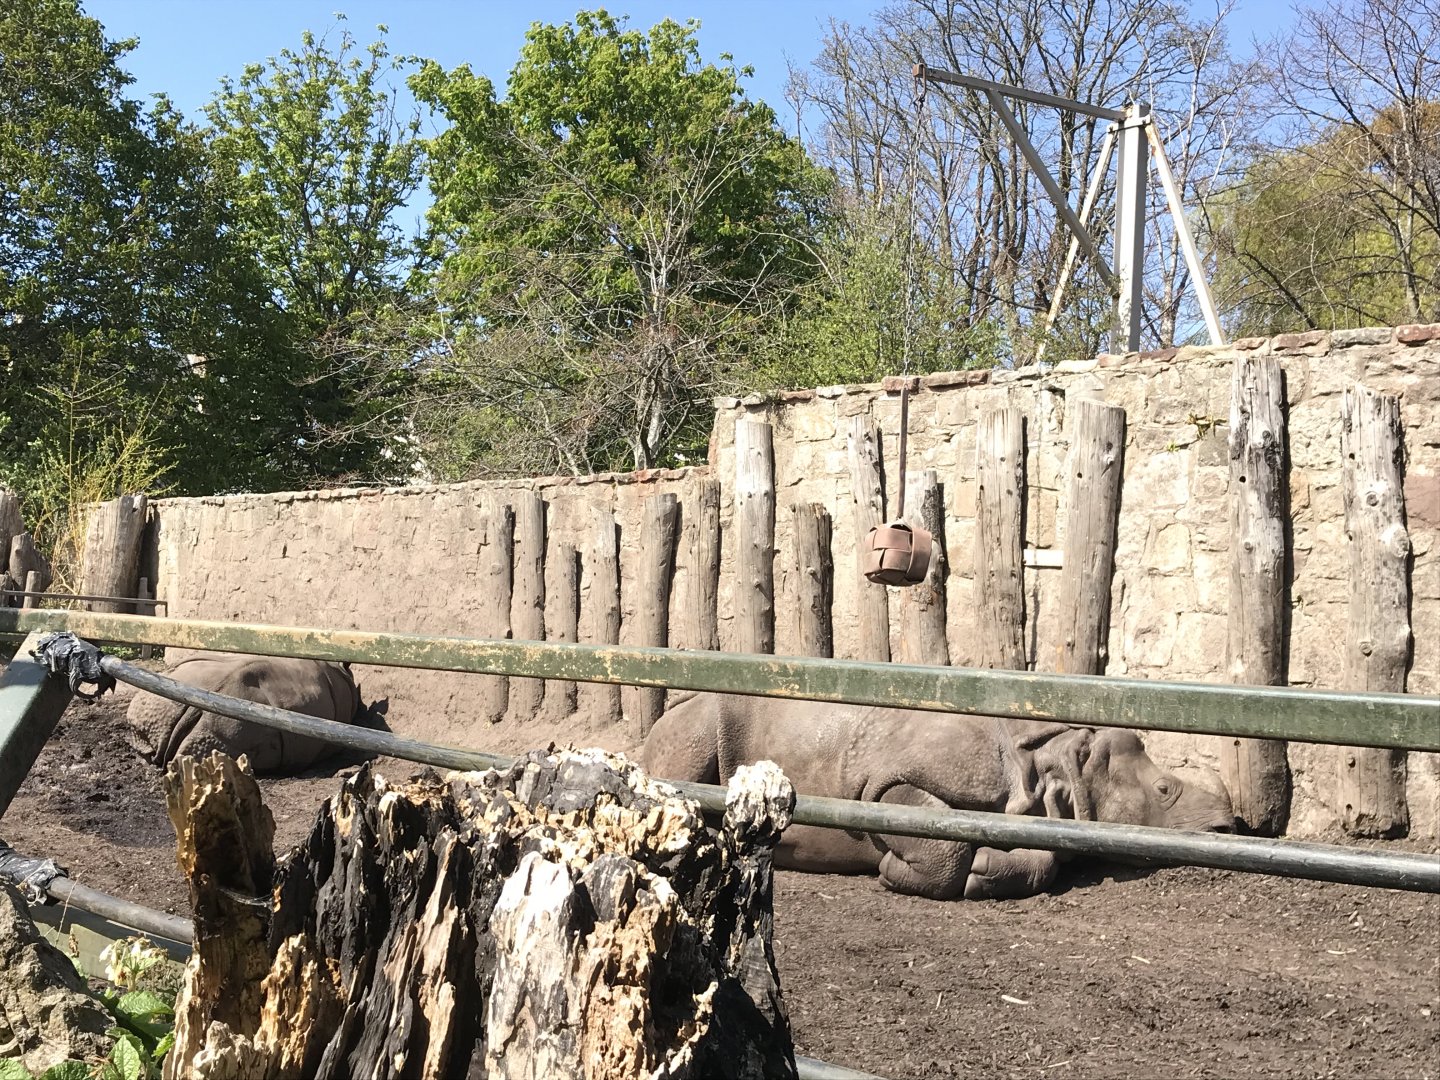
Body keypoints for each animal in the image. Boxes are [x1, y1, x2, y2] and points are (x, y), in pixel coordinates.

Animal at [642, 692, 1236, 900]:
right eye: (1165, 790)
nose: (1229, 826)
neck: (1055, 769)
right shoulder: (884, 780)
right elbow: (935, 833)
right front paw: (891, 874)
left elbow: (1043, 859)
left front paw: (986, 872)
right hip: (696, 719)